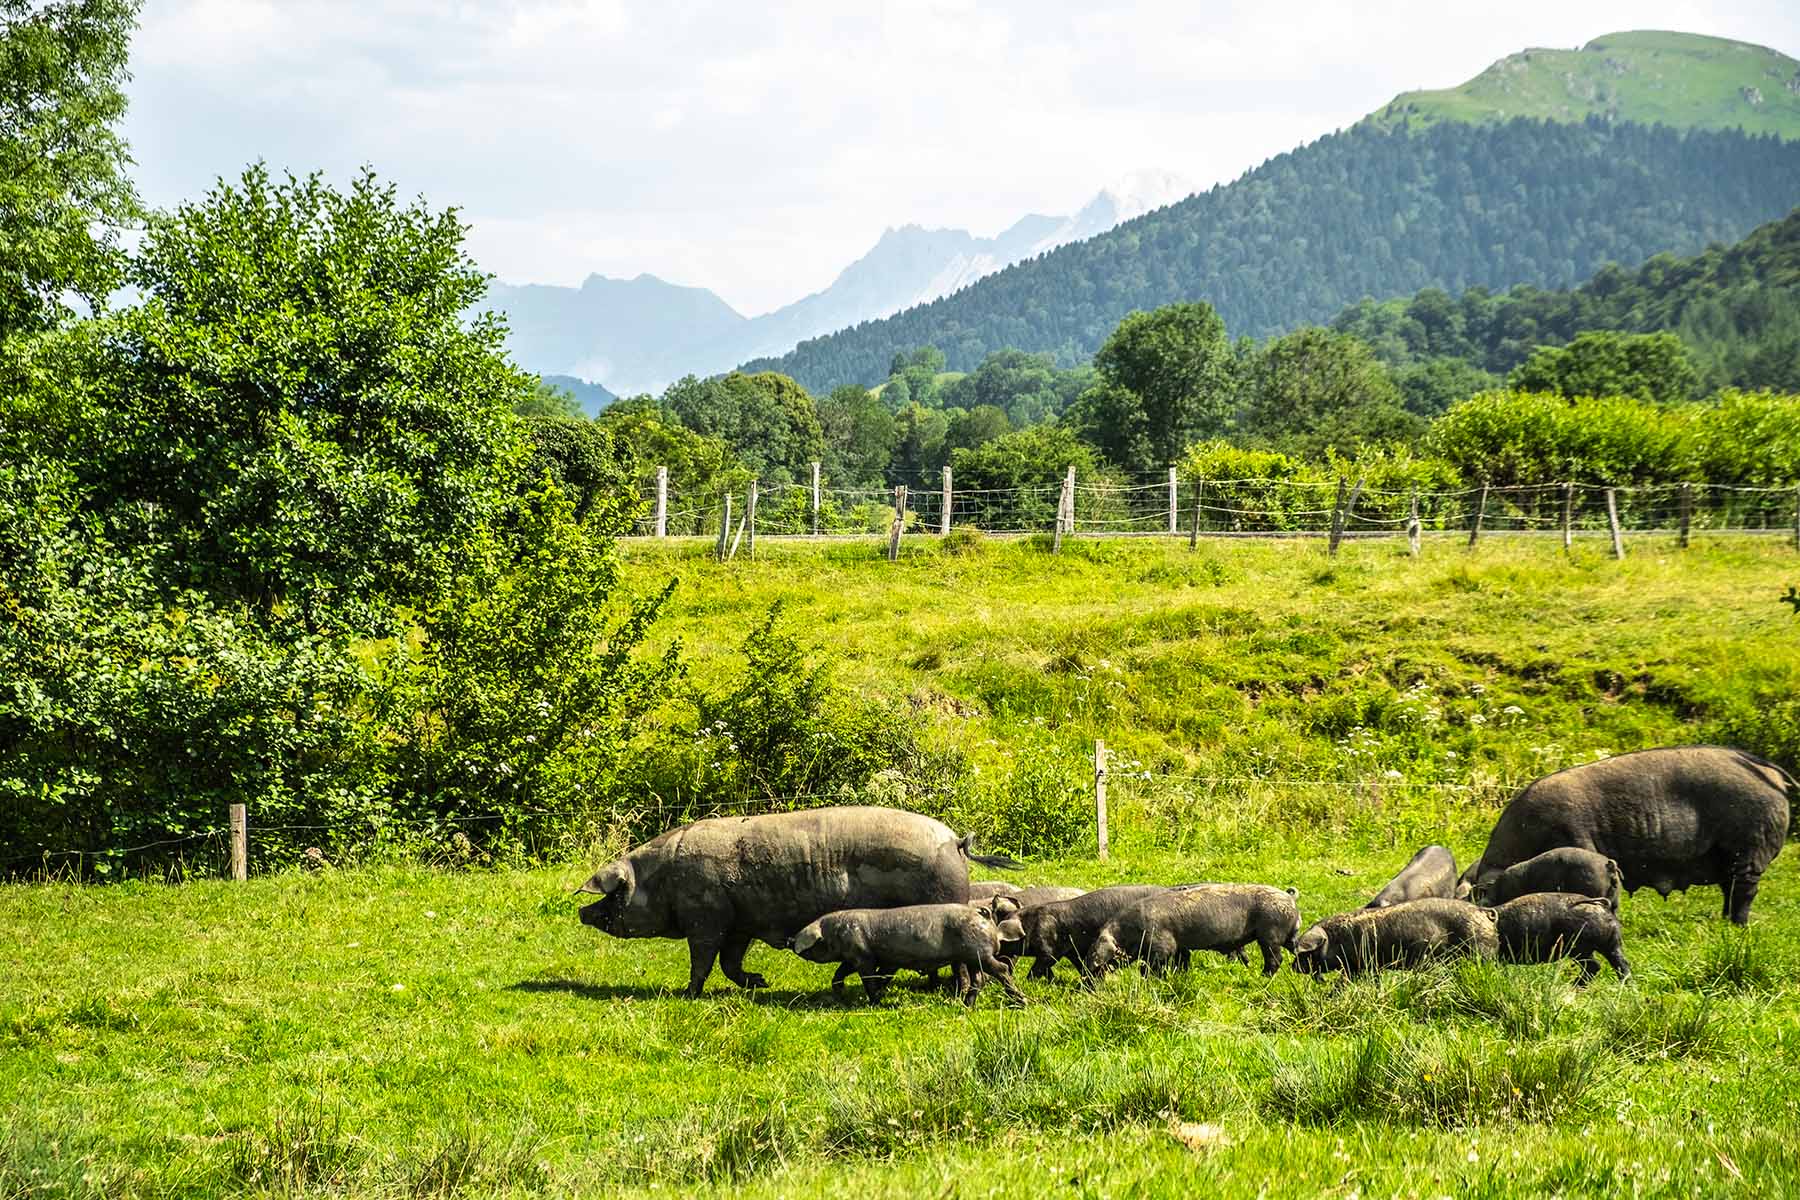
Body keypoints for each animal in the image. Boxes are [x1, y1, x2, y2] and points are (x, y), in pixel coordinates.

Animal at [576, 806, 1017, 996]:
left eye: (613, 894)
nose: (581, 911)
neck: (663, 878)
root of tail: (956, 840)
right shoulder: (739, 923)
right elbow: (730, 963)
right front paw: (760, 983)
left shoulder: (706, 918)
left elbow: (703, 961)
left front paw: (688, 995)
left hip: (945, 901)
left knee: (964, 963)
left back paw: (956, 994)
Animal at [792, 903, 1026, 1006]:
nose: (789, 941)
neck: (836, 932)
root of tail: (982, 915)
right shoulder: (855, 958)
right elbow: (841, 973)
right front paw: (839, 992)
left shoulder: (863, 956)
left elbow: (870, 978)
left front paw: (874, 1002)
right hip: (972, 957)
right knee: (978, 978)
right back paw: (966, 1005)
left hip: (980, 954)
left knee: (1001, 970)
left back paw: (1021, 1002)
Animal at [1087, 884, 1301, 978]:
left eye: (1094, 953)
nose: (1086, 972)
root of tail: (1290, 898)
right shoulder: (1180, 946)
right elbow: (1182, 960)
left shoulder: (1162, 944)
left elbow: (1152, 965)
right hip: (1288, 935)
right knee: (1297, 949)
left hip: (1270, 933)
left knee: (1275, 958)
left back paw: (1263, 976)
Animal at [1292, 898, 1498, 978]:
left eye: (1305, 952)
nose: (1292, 966)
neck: (1339, 940)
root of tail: (1483, 912)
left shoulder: (1363, 965)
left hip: (1481, 949)